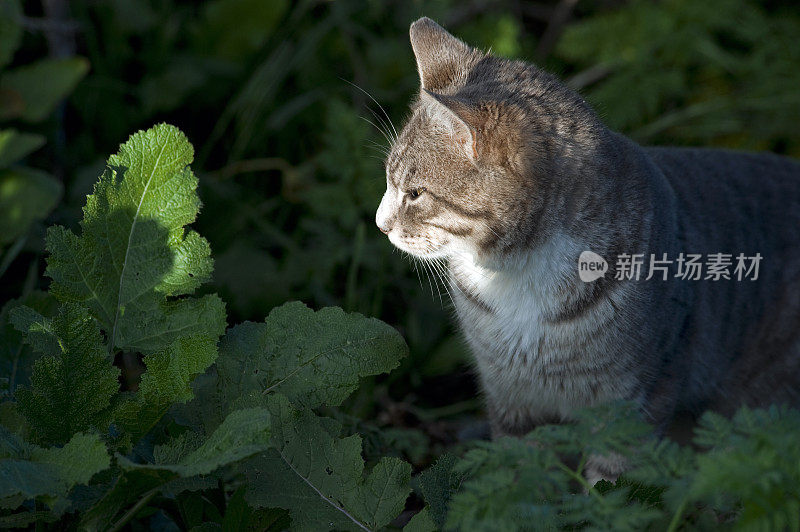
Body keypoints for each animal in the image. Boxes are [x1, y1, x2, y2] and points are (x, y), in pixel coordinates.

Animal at [376, 17, 800, 454]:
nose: (380, 223)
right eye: (389, 180)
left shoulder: (637, 401)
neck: (516, 275)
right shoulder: (510, 398)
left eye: (415, 193)